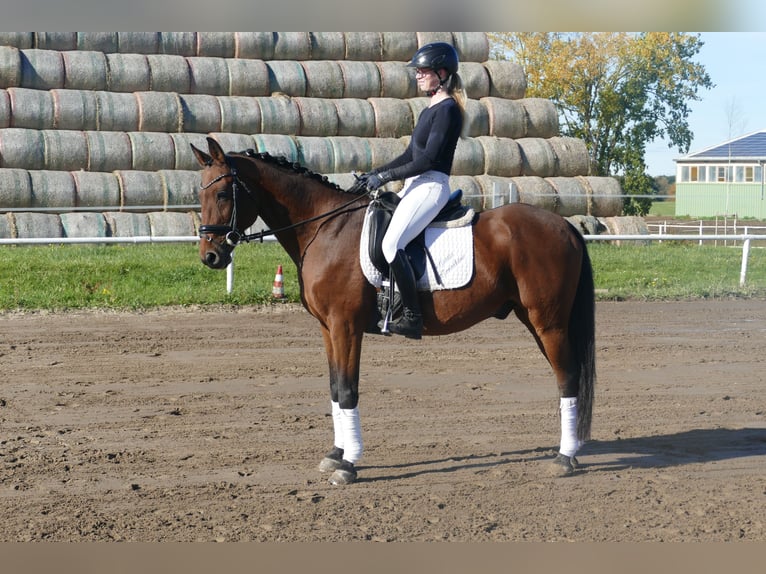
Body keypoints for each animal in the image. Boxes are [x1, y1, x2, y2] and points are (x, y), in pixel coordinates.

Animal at [191, 136, 596, 485]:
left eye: (223, 193)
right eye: (200, 193)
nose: (211, 256)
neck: (325, 227)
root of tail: (565, 225)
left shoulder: (346, 326)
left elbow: (349, 390)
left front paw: (349, 465)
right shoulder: (327, 328)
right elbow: (335, 388)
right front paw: (335, 454)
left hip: (548, 322)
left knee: (567, 377)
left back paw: (564, 458)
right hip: (536, 320)